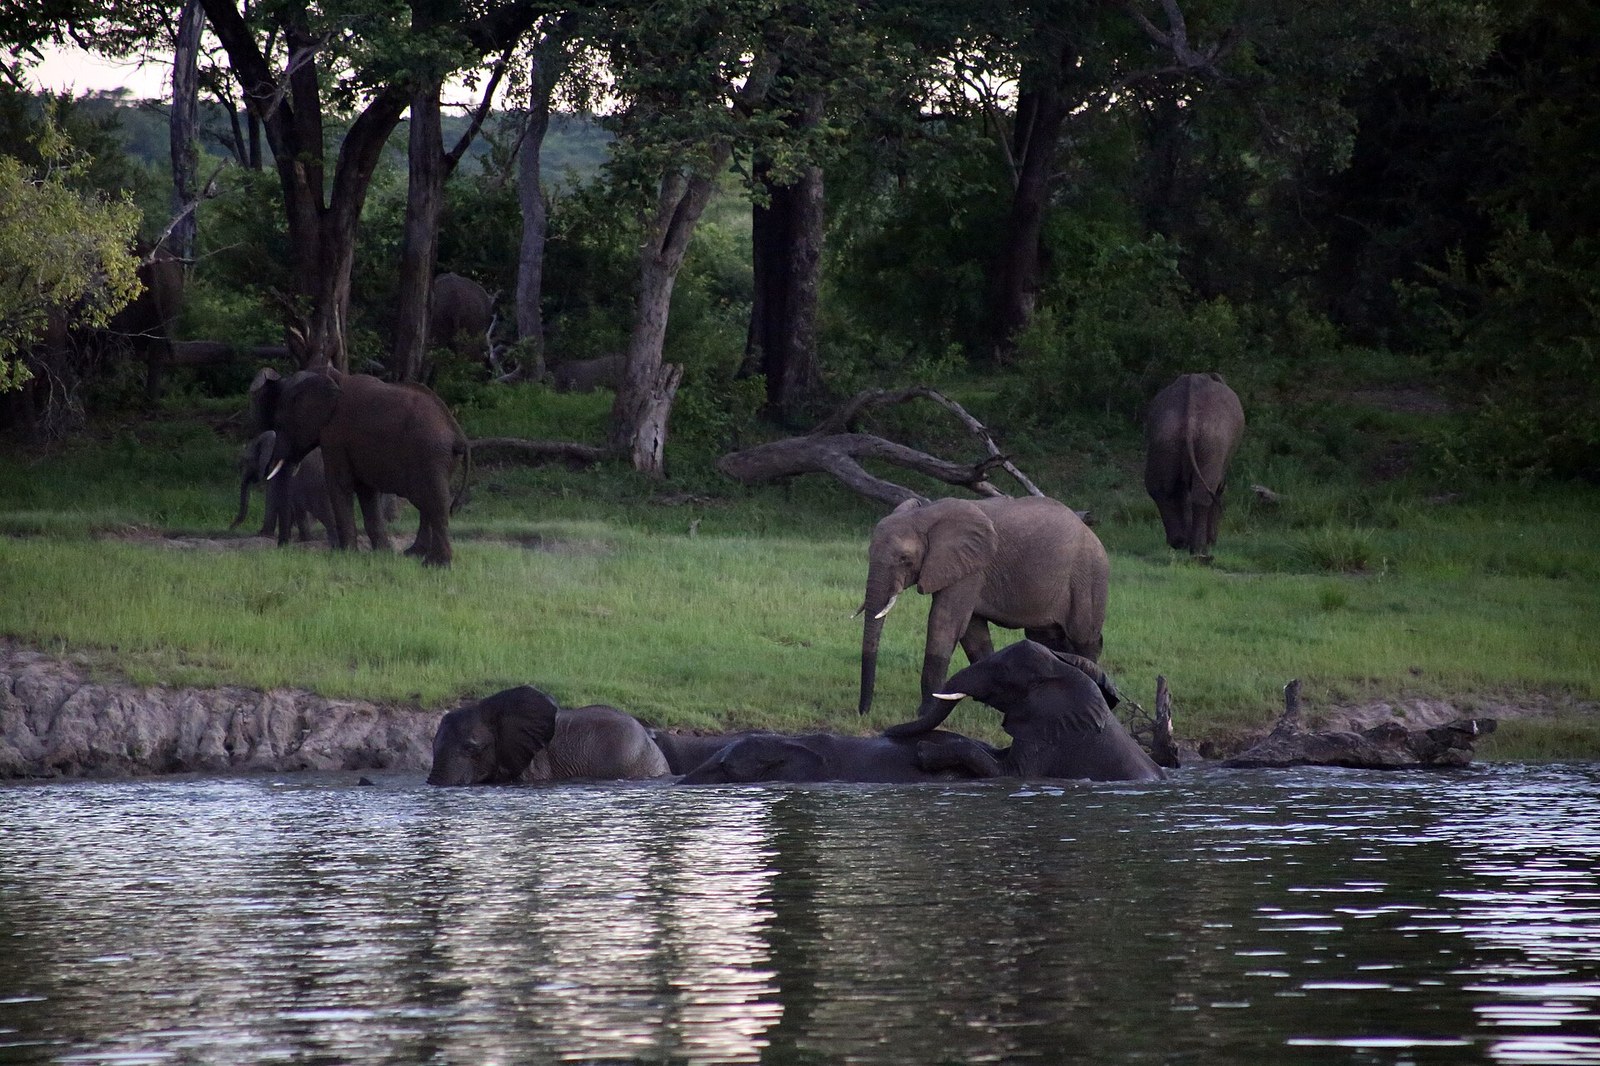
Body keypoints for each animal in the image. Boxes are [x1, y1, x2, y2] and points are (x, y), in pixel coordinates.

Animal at [248, 367, 469, 567]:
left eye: (280, 422)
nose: (281, 548)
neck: (326, 377)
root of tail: (457, 434)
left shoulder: (335, 436)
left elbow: (340, 484)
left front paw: (345, 555)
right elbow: (366, 491)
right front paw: (382, 554)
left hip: (430, 454)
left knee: (434, 502)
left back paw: (435, 564)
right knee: (427, 503)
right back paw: (414, 554)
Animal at [859, 495, 1109, 729]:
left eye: (904, 559)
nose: (863, 713)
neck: (926, 514)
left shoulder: (971, 567)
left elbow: (945, 623)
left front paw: (924, 712)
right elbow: (972, 633)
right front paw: (992, 705)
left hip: (1089, 578)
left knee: (1084, 639)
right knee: (1046, 639)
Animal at [1144, 372, 1245, 558]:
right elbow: (1218, 489)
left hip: (1164, 438)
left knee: (1163, 490)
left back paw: (1179, 543)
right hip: (1213, 441)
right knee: (1204, 493)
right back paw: (1199, 550)